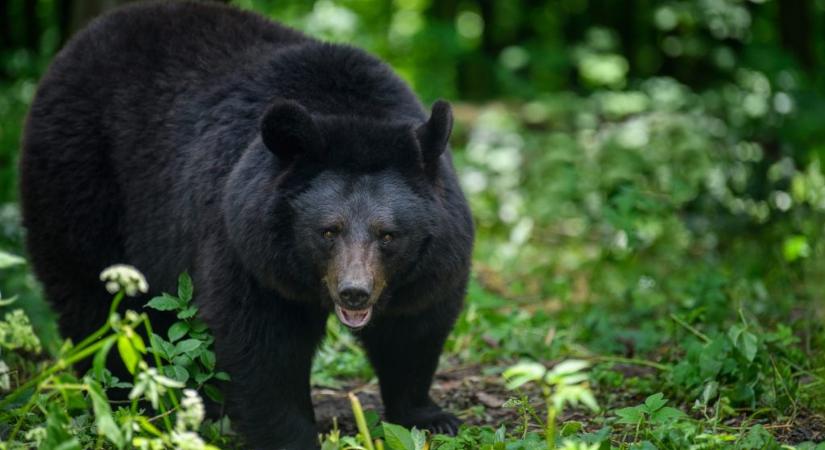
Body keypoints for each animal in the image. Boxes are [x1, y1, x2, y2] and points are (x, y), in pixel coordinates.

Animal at [17, 1, 470, 448]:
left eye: (388, 235)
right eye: (328, 231)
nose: (354, 292)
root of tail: (78, 43)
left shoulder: (429, 261)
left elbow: (415, 328)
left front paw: (431, 417)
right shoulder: (244, 242)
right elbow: (260, 345)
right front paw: (292, 437)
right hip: (78, 182)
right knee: (93, 298)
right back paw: (130, 399)